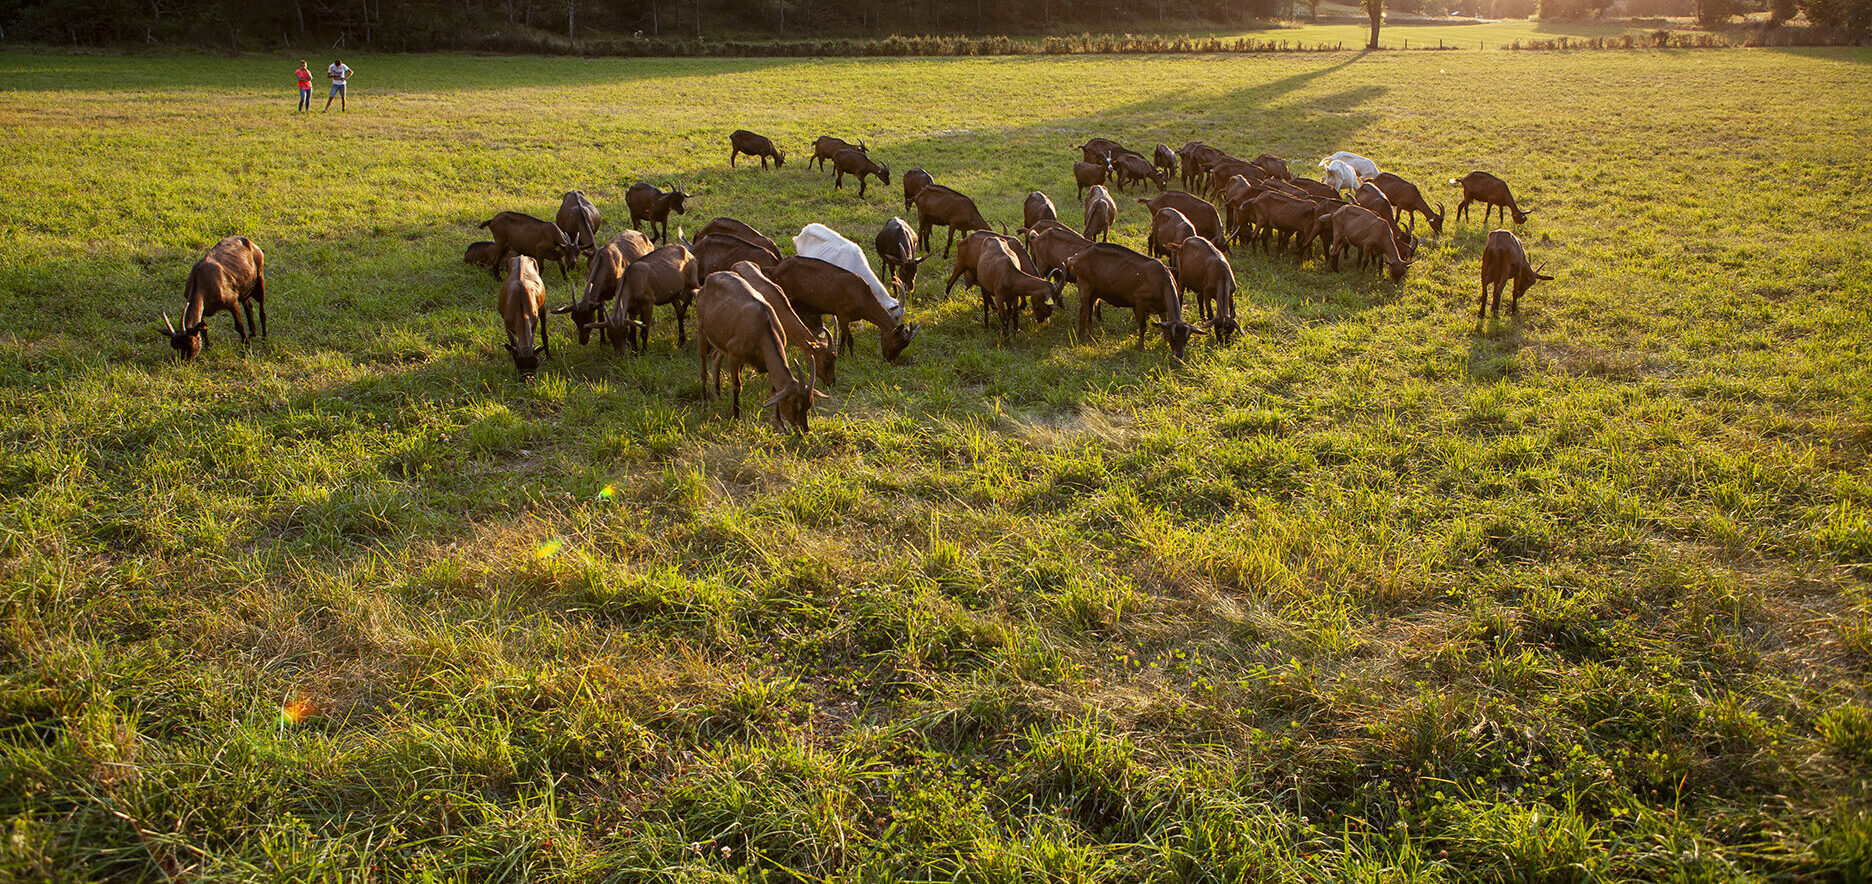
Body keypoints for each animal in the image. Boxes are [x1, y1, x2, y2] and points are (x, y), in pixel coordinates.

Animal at [692, 271, 816, 432]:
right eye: (795, 404)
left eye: (809, 404)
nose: (804, 430)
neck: (763, 326)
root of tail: (706, 282)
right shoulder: (734, 356)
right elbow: (737, 386)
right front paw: (736, 417)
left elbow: (774, 390)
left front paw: (780, 424)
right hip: (701, 330)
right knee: (703, 368)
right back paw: (705, 403)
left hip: (721, 338)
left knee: (715, 357)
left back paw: (718, 397)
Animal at [767, 254, 921, 363]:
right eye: (897, 343)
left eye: (904, 345)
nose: (889, 360)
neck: (863, 297)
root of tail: (775, 269)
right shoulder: (842, 314)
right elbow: (845, 338)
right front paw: (841, 356)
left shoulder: (848, 318)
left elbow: (851, 339)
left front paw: (852, 356)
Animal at [1063, 241, 1205, 359]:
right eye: (1174, 335)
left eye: (1187, 338)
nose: (1179, 355)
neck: (1161, 281)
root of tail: (1075, 257)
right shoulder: (1140, 303)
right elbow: (1142, 326)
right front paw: (1141, 347)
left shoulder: (1162, 308)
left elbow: (1163, 323)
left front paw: (1164, 342)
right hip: (1084, 285)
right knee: (1083, 311)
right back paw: (1082, 337)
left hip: (1096, 292)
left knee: (1089, 312)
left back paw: (1092, 337)